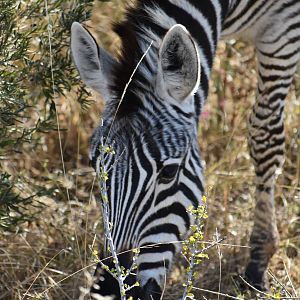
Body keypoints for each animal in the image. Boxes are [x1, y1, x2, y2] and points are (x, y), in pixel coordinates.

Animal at [71, 0, 300, 298]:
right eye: (95, 168)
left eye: (169, 172)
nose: (112, 290)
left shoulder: (282, 30)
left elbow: (264, 134)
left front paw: (258, 264)